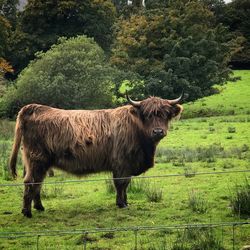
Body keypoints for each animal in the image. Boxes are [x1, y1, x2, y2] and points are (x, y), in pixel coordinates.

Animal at [9, 94, 183, 217]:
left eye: (165, 114)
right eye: (147, 115)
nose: (158, 131)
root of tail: (32, 107)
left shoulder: (127, 165)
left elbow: (126, 184)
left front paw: (125, 202)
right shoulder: (122, 163)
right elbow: (121, 184)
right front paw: (121, 204)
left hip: (40, 163)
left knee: (38, 183)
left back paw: (39, 207)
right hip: (37, 160)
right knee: (31, 182)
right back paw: (27, 212)